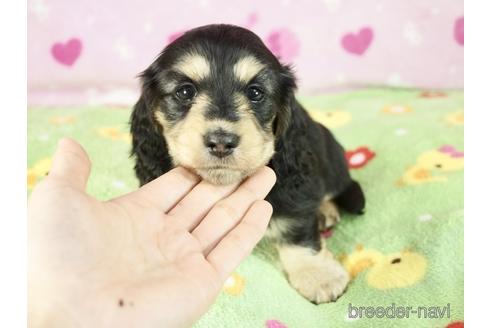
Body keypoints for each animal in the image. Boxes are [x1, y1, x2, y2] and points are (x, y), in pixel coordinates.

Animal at [131, 24, 366, 304]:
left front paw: (317, 275)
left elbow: (296, 229)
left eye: (255, 93)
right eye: (185, 91)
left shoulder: (294, 189)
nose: (221, 142)